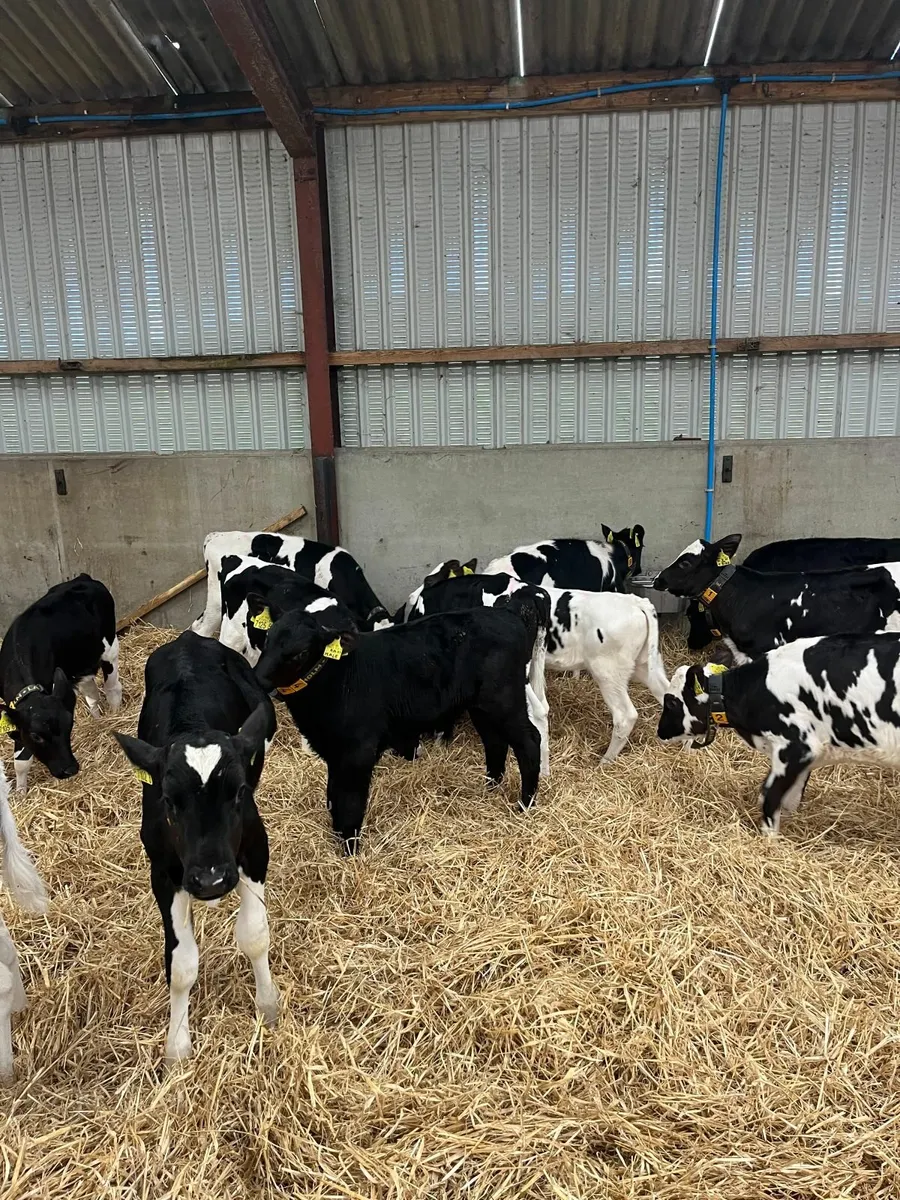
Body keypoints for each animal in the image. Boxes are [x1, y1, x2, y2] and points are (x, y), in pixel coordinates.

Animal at [0, 575, 122, 794]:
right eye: (36, 735)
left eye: (70, 725)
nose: (70, 769)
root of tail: (84, 578)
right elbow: (20, 760)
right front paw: (21, 793)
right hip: (79, 665)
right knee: (91, 694)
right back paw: (98, 720)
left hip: (109, 647)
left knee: (112, 688)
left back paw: (115, 716)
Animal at [114, 631, 278, 1063]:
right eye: (169, 801)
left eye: (238, 791)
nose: (211, 879)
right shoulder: (162, 873)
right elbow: (181, 964)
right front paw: (177, 1046)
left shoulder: (255, 849)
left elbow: (254, 934)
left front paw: (268, 1005)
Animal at [253, 599, 546, 853]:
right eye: (267, 639)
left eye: (300, 653)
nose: (259, 678)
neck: (336, 678)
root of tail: (508, 614)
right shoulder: (334, 751)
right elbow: (333, 795)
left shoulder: (358, 751)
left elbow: (350, 801)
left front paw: (350, 851)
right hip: (481, 706)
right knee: (495, 741)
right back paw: (490, 789)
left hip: (505, 699)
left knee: (529, 740)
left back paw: (525, 804)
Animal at [402, 569, 669, 761]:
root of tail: (637, 602)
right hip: (645, 665)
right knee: (668, 693)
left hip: (608, 672)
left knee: (625, 715)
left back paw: (605, 760)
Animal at [659, 633, 900, 836]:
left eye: (671, 702)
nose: (659, 732)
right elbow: (792, 797)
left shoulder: (796, 747)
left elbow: (769, 796)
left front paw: (769, 840)